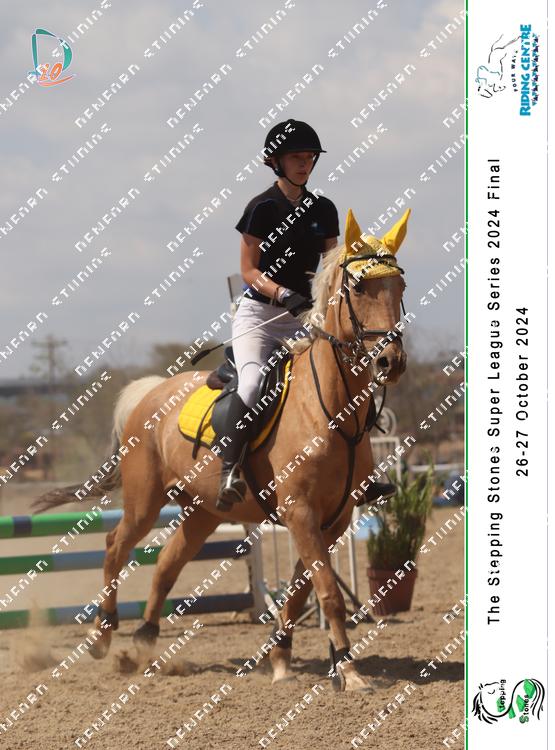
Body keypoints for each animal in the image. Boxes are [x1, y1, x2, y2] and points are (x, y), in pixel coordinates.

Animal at [33, 207, 410, 692]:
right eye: (359, 287)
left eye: (400, 287)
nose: (390, 362)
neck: (328, 409)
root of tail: (151, 392)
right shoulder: (301, 512)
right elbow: (327, 592)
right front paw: (347, 670)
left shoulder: (334, 518)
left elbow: (301, 590)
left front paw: (281, 660)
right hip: (144, 501)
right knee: (116, 545)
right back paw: (103, 634)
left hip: (204, 510)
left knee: (167, 564)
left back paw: (145, 642)